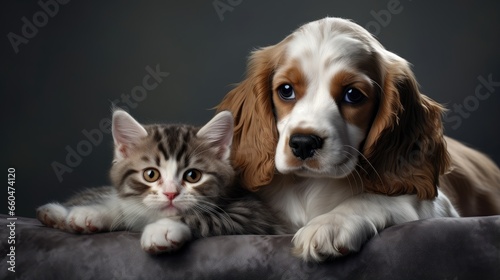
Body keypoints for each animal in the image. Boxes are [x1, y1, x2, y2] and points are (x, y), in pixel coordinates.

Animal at [36, 110, 286, 254]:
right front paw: (91, 213)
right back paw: (55, 214)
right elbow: (122, 205)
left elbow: (198, 216)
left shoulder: (253, 214)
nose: (170, 193)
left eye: (193, 176)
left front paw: (162, 230)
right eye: (151, 174)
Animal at [217, 18, 500, 262]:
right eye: (286, 90)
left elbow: (379, 197)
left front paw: (330, 223)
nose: (303, 143)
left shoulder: (440, 208)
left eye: (353, 95)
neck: (312, 184)